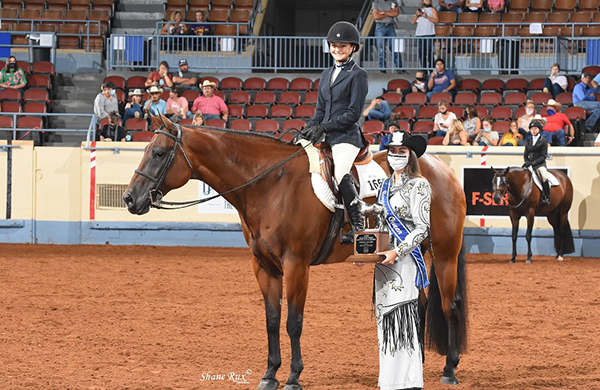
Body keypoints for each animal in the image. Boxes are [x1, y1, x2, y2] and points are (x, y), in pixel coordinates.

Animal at [122, 116, 468, 390]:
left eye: (159, 153)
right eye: (146, 150)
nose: (129, 199)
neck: (270, 184)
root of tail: (442, 169)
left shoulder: (296, 265)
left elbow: (294, 321)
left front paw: (293, 377)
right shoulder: (264, 266)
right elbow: (272, 320)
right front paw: (270, 374)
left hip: (444, 254)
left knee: (449, 304)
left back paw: (449, 369)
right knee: (419, 305)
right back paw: (415, 364)